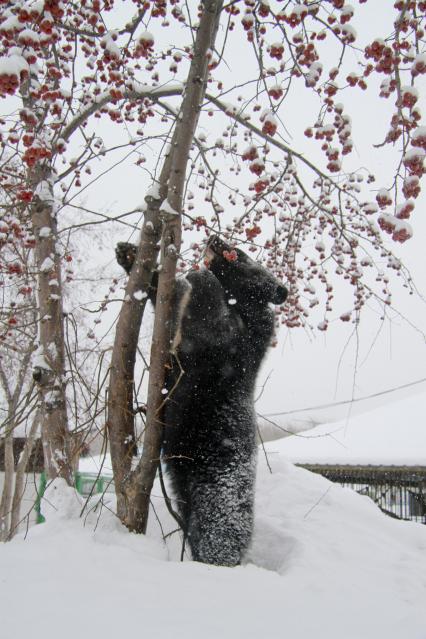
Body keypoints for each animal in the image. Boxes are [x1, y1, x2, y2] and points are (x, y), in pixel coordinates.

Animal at [116, 235, 288, 564]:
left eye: (240, 254)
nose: (214, 237)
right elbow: (168, 298)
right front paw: (129, 254)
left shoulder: (229, 342)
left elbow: (205, 308)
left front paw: (199, 275)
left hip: (216, 501)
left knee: (215, 538)